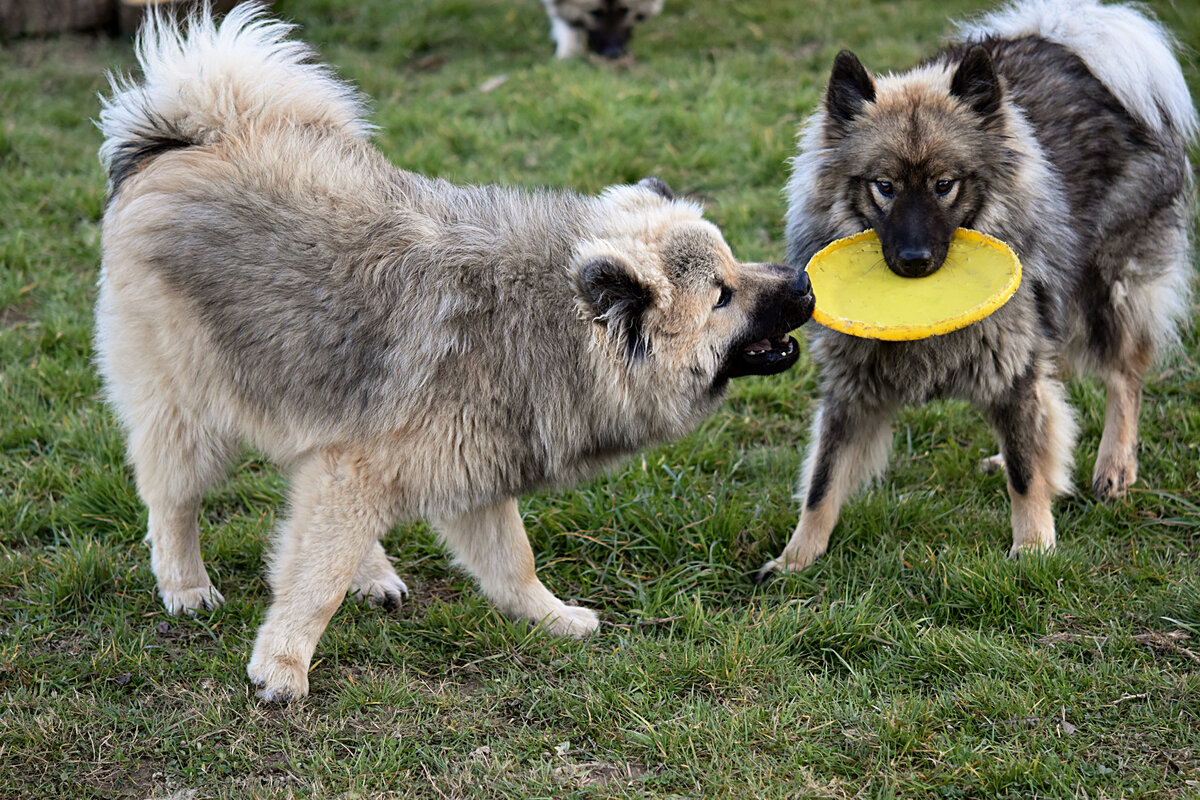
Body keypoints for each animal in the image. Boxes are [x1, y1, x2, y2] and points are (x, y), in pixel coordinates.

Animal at [93, 4, 806, 700]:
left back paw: (371, 573)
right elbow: (316, 579)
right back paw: (186, 585)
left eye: (735, 264)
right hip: (191, 408)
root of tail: (195, 137)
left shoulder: (467, 470)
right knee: (172, 502)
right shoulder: (366, 467)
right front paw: (283, 665)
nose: (803, 282)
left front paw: (549, 618)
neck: (546, 322)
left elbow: (512, 562)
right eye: (721, 295)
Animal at [763, 0, 1195, 578]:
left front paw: (1032, 547)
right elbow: (822, 483)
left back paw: (1114, 467)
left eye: (945, 185)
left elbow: (1026, 473)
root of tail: (1065, 41)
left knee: (1125, 374)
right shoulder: (852, 387)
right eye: (884, 187)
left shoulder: (1011, 367)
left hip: (1107, 289)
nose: (914, 261)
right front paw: (795, 559)